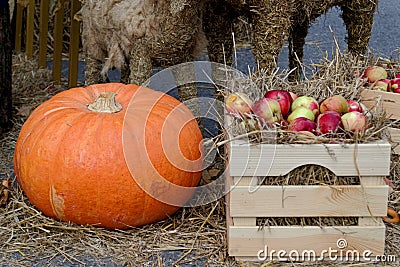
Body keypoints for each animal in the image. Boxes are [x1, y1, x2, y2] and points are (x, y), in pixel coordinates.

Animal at [203, 0, 378, 79]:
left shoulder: (271, 16)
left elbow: (266, 65)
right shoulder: (216, 15)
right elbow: (220, 69)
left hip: (362, 6)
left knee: (359, 40)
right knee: (297, 48)